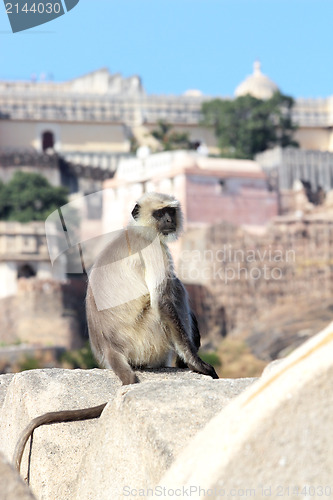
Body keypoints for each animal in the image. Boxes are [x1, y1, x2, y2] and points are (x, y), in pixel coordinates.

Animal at [13, 192, 217, 476]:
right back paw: (182, 361)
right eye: (159, 213)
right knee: (173, 285)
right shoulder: (152, 246)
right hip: (147, 338)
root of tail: (110, 349)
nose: (168, 220)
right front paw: (196, 362)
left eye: (170, 212)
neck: (137, 229)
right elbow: (162, 300)